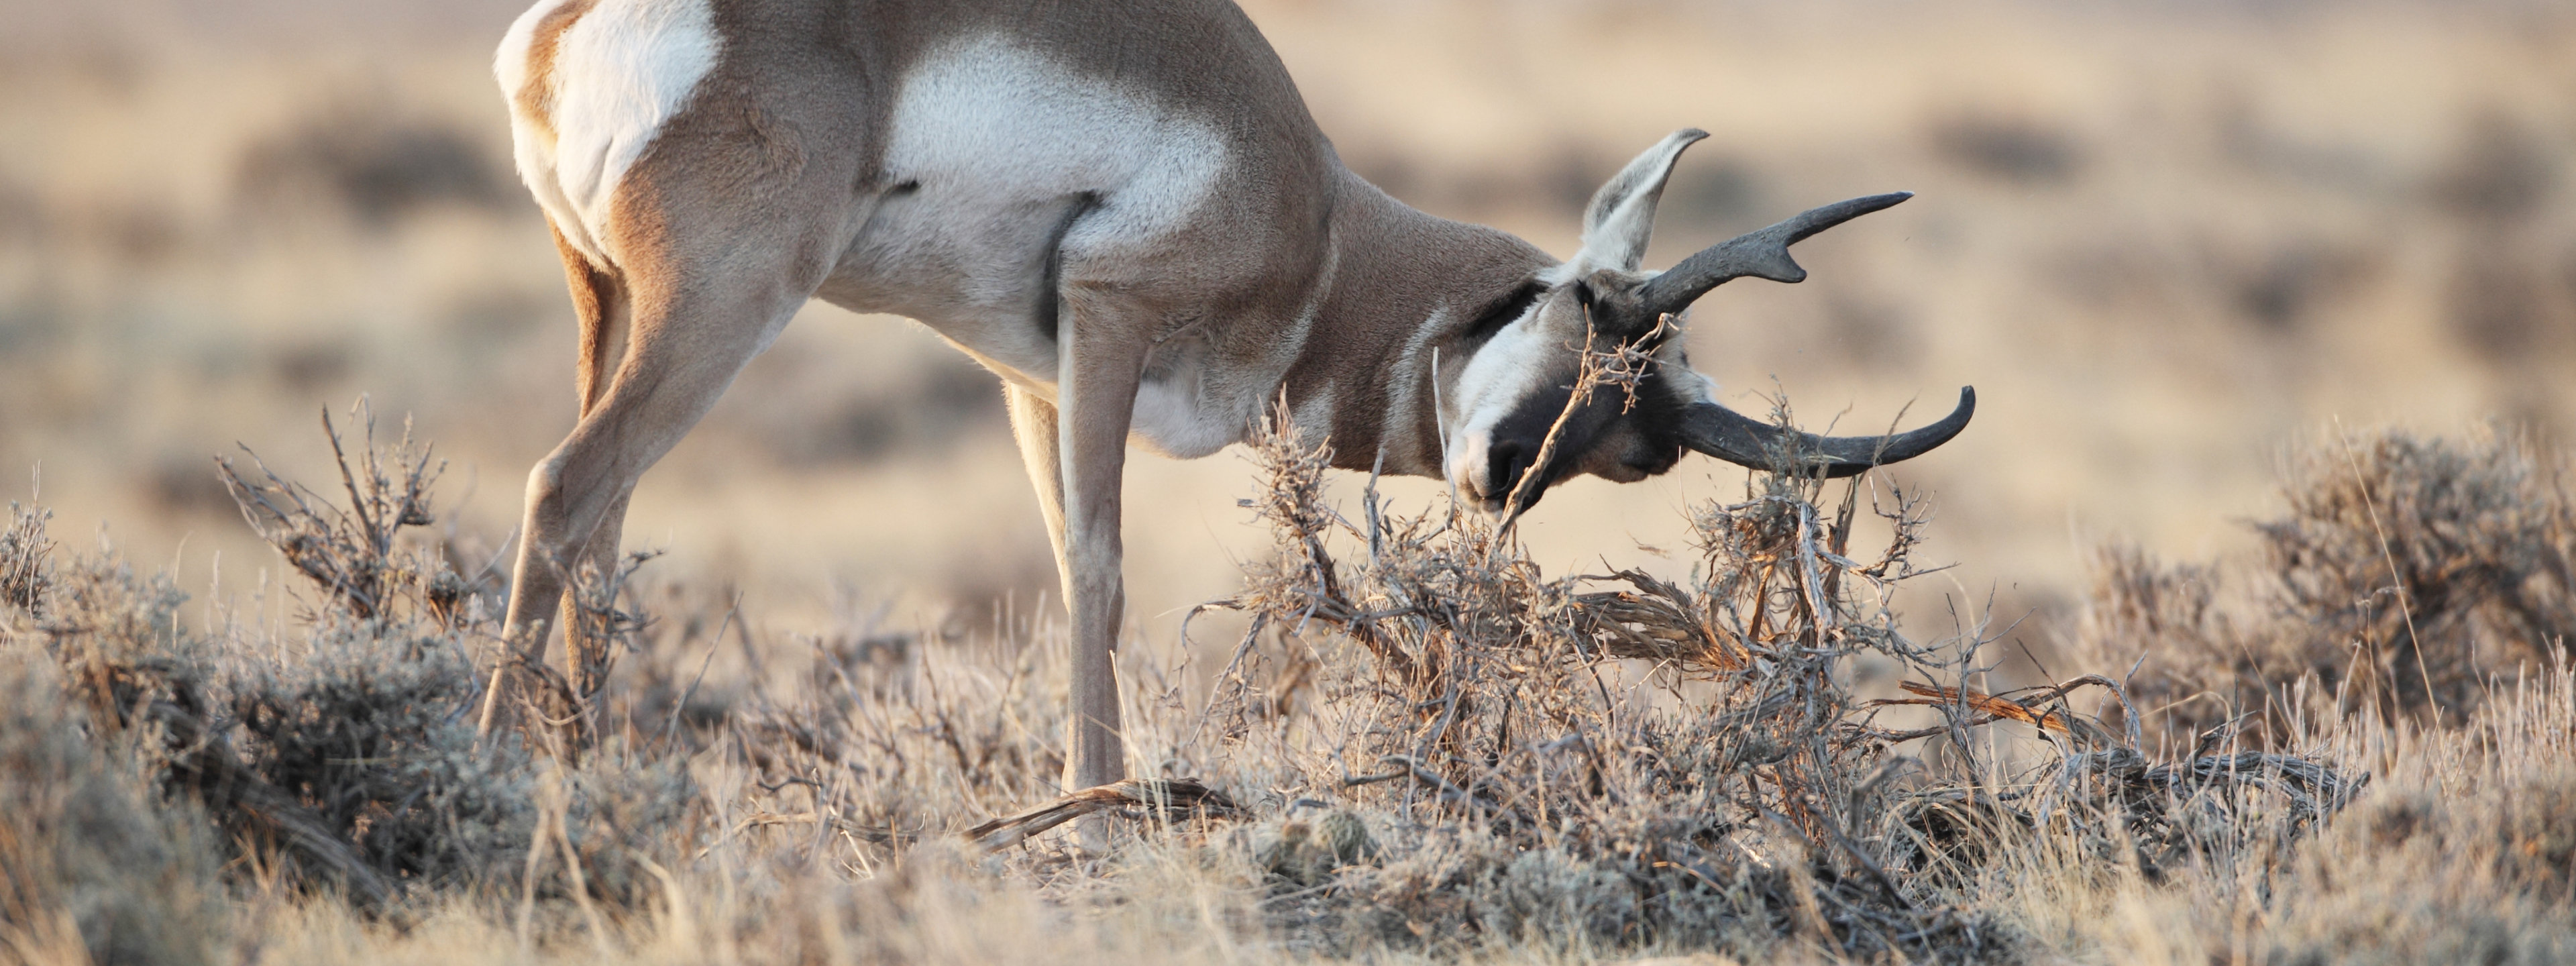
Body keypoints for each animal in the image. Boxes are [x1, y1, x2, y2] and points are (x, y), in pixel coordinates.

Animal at [480, 0, 1974, 796]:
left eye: (1646, 444)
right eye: (1598, 323)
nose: (1500, 472)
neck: (1323, 237)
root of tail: (565, 33)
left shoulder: (1031, 379)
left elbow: (1065, 561)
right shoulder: (1105, 326)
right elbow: (1099, 570)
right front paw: (1094, 804)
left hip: (608, 303)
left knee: (602, 515)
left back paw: (582, 771)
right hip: (730, 302)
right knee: (564, 483)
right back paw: (491, 761)